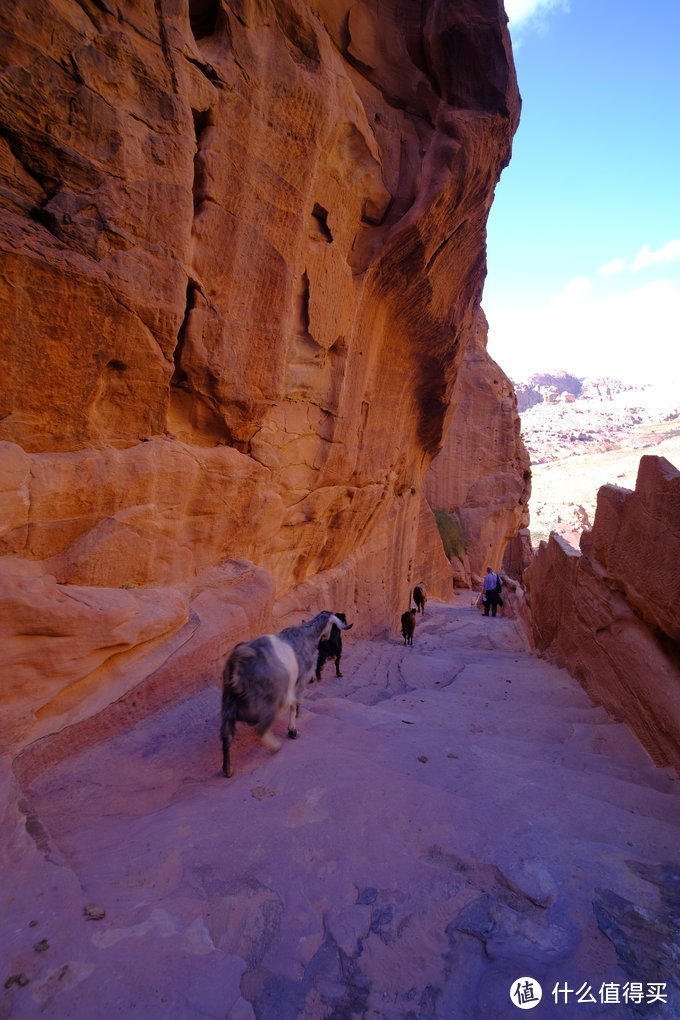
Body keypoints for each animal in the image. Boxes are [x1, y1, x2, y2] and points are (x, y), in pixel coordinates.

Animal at [221, 607, 354, 775]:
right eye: (332, 626)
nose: (327, 637)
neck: (306, 636)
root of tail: (239, 666)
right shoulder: (299, 682)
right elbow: (294, 704)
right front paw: (293, 730)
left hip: (227, 703)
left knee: (226, 736)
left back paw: (228, 769)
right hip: (272, 700)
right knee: (261, 728)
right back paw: (276, 746)